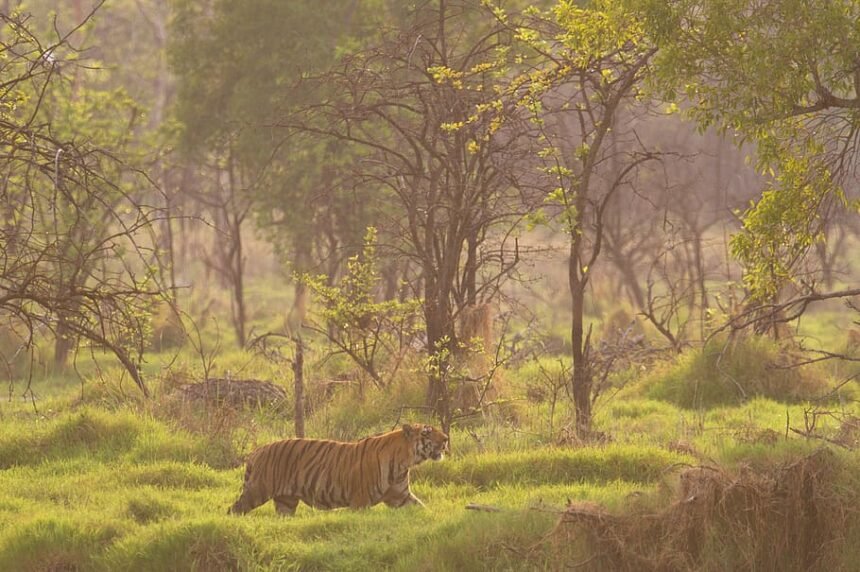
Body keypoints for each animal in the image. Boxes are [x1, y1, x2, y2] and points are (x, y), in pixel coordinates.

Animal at [228, 423, 449, 516]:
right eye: (427, 433)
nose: (447, 439)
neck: (404, 464)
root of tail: (257, 450)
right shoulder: (360, 501)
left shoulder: (401, 497)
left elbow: (422, 507)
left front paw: (436, 518)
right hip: (257, 491)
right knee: (234, 509)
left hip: (286, 502)